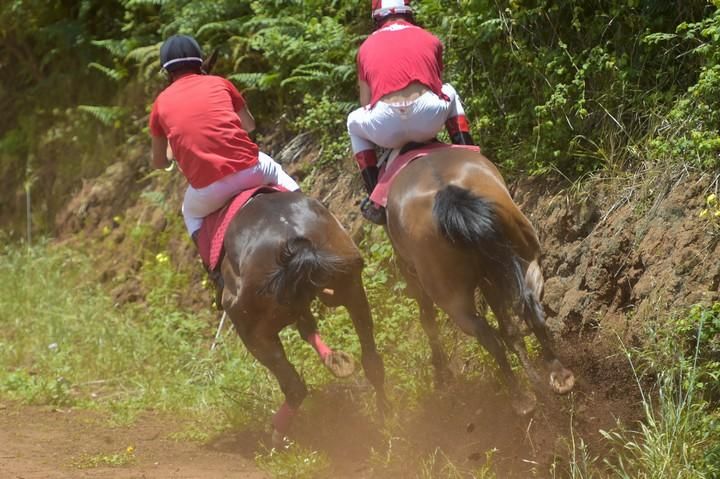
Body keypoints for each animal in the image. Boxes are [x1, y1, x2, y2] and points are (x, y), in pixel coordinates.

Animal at [219, 190, 388, 442]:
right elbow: (307, 327)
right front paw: (335, 360)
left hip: (252, 329)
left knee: (294, 387)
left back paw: (277, 435)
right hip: (351, 285)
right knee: (372, 359)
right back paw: (386, 415)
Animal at [386, 148, 576, 414]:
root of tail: (447, 193)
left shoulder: (412, 276)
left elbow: (428, 321)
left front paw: (441, 373)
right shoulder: (489, 274)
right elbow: (509, 328)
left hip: (451, 298)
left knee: (486, 336)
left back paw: (520, 398)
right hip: (526, 256)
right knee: (531, 309)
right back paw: (557, 373)